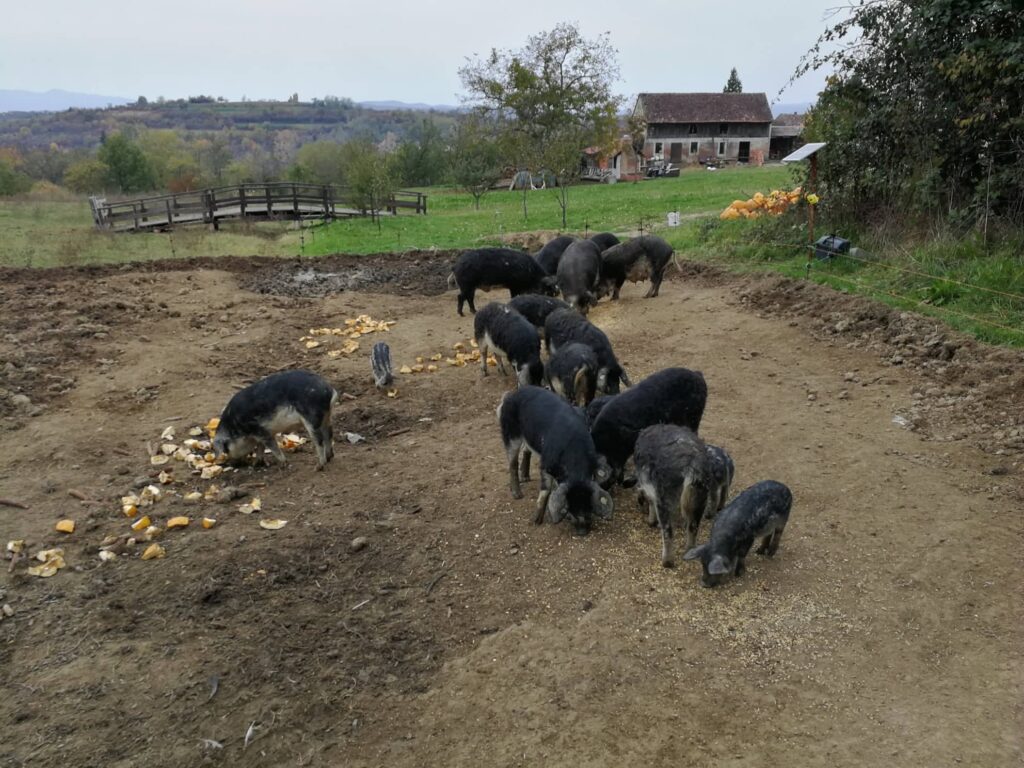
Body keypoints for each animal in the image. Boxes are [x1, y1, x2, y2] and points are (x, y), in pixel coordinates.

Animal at [497, 386, 613, 535]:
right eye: (570, 504)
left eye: (588, 502)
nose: (582, 532)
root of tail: (511, 395)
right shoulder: (546, 465)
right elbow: (545, 490)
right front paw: (535, 521)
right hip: (510, 433)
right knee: (512, 462)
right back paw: (518, 495)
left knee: (525, 450)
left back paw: (526, 478)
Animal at [634, 425, 710, 567]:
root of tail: (691, 465)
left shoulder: (651, 489)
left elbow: (651, 502)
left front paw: (650, 522)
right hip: (700, 494)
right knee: (693, 526)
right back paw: (689, 550)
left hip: (665, 496)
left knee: (668, 530)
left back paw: (667, 562)